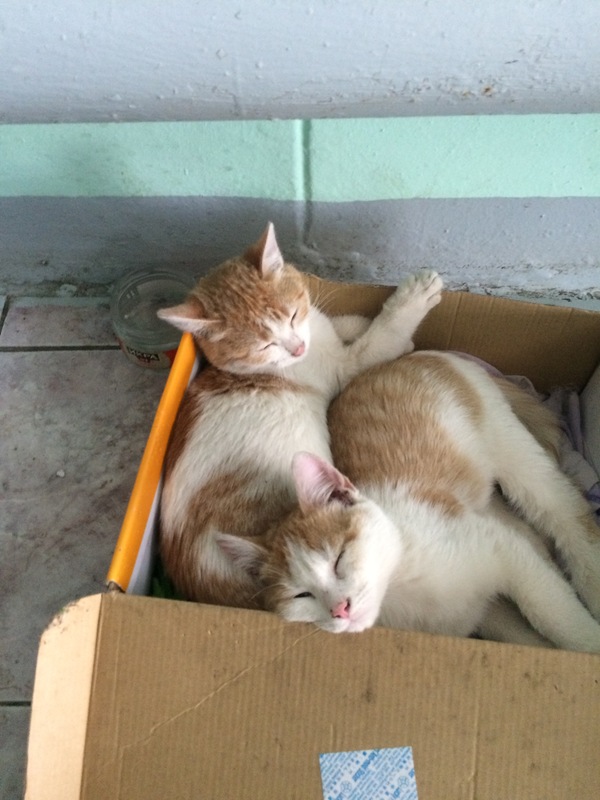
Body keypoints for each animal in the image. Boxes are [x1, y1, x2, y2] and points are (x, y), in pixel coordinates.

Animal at [157, 223, 443, 606]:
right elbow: (380, 338)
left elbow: (340, 326)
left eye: (292, 315)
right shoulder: (344, 368)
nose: (296, 348)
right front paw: (412, 300)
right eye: (264, 345)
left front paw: (353, 322)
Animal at [220, 351, 600, 652]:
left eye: (339, 558)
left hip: (506, 442)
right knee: (526, 528)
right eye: (301, 596)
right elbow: (521, 632)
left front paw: (587, 644)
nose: (340, 609)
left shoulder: (499, 550)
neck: (401, 588)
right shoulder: (483, 609)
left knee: (564, 512)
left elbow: (552, 612)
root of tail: (425, 355)